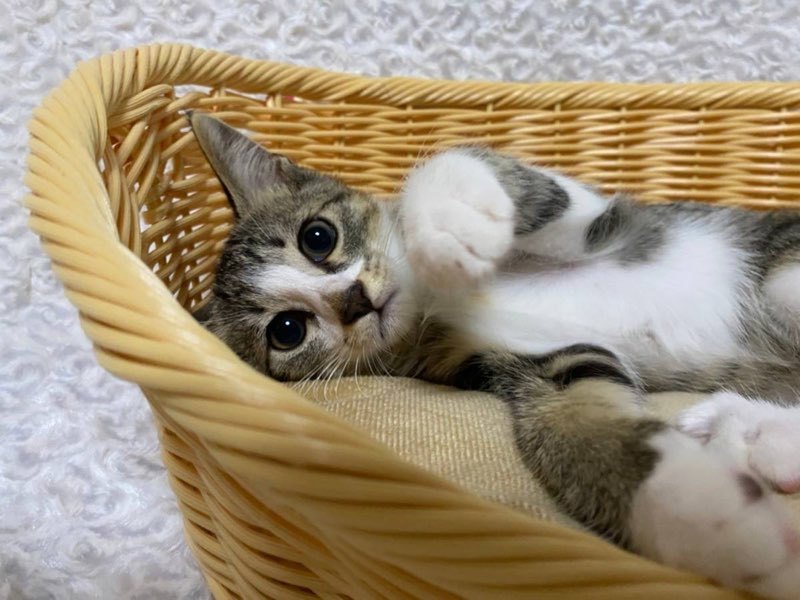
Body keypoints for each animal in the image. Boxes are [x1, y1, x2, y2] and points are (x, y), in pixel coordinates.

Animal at [189, 112, 800, 598]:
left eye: (318, 237)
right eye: (287, 330)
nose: (354, 299)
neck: (431, 300)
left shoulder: (596, 215)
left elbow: (475, 164)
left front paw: (449, 222)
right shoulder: (536, 363)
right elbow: (577, 423)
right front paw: (715, 519)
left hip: (783, 272)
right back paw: (759, 436)